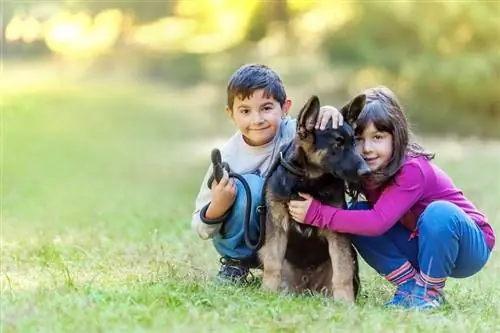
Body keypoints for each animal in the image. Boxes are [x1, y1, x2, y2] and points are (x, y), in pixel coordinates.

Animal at [260, 94, 370, 304]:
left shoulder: (337, 232)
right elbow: (272, 263)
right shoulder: (277, 224)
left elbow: (342, 272)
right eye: (338, 143)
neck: (308, 180)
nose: (366, 172)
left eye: (354, 142)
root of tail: (307, 288)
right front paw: (267, 293)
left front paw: (346, 303)